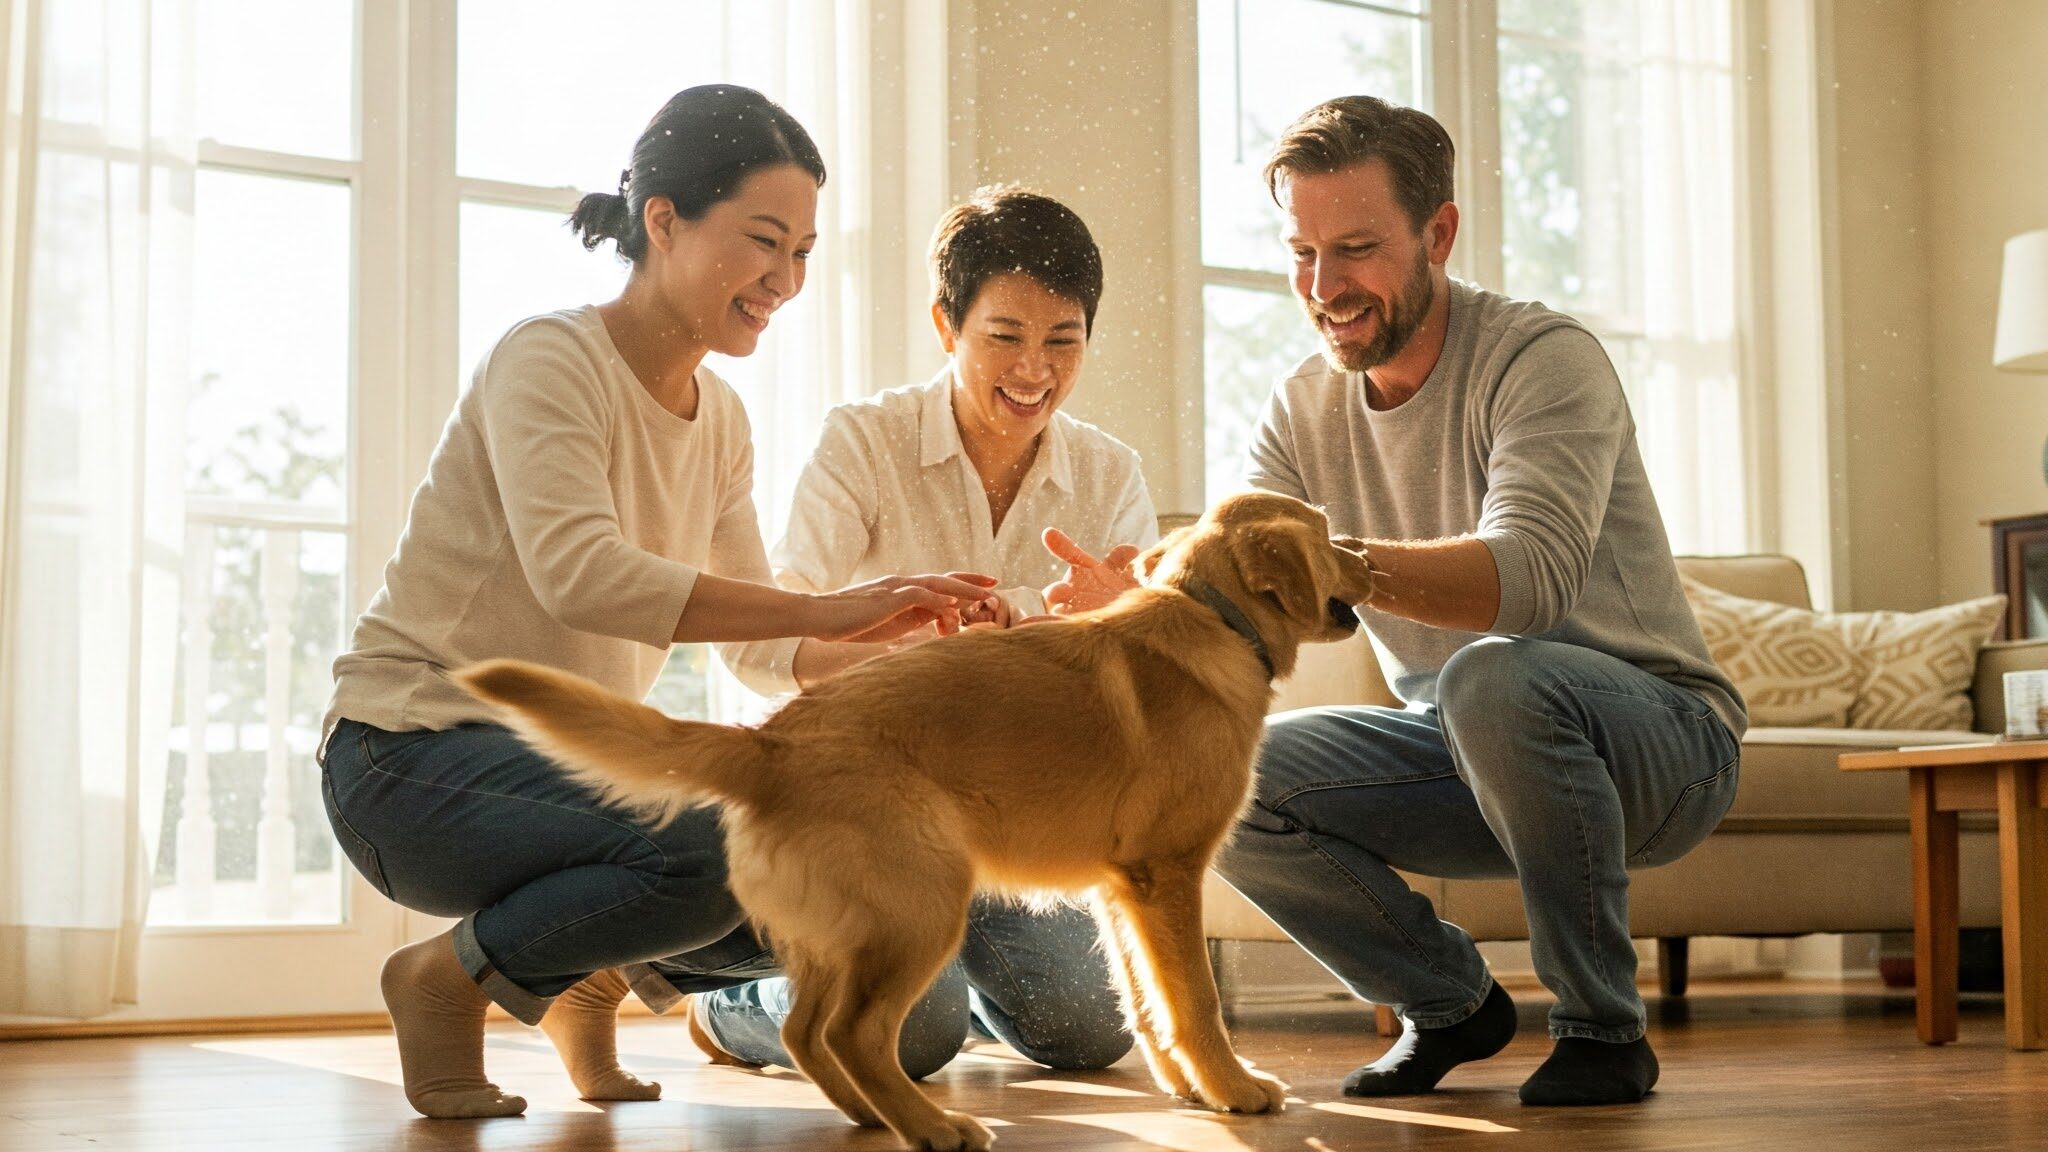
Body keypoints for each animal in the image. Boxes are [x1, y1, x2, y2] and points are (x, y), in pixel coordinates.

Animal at [456, 487, 1368, 1139]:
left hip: (850, 929)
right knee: (856, 1034)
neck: (1214, 614)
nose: (1367, 555)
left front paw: (1191, 1088)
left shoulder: (1124, 892)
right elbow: (1198, 1003)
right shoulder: (1169, 874)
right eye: (1327, 534)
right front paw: (1234, 1089)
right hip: (924, 908)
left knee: (808, 1032)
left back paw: (872, 1114)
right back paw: (932, 1126)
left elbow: (1151, 1005)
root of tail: (773, 742)